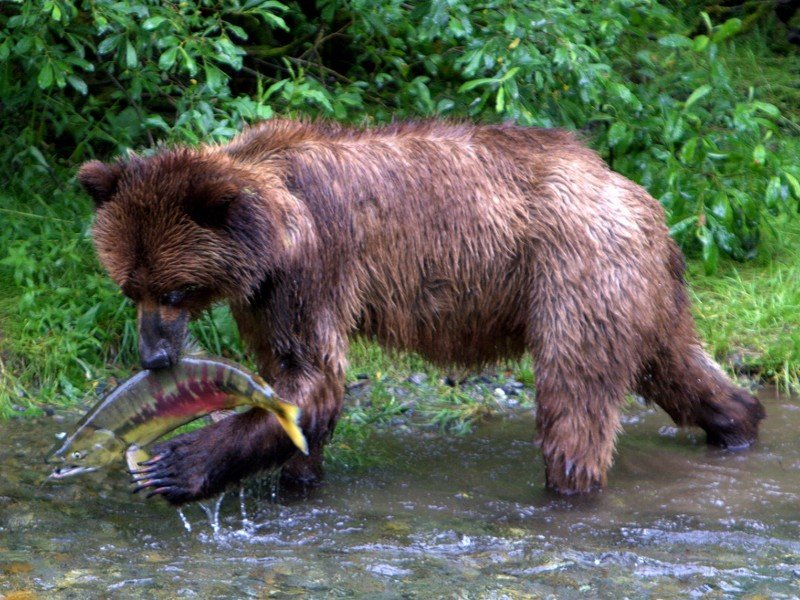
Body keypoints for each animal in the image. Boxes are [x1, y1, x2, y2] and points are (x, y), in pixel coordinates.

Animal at [77, 119, 765, 505]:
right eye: (129, 288)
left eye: (172, 292)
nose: (154, 356)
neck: (270, 229)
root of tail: (638, 197)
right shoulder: (264, 293)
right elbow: (288, 381)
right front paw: (297, 477)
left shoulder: (317, 263)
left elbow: (313, 378)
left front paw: (175, 467)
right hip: (642, 291)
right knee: (676, 367)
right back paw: (740, 421)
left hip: (575, 275)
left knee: (575, 397)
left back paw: (569, 488)